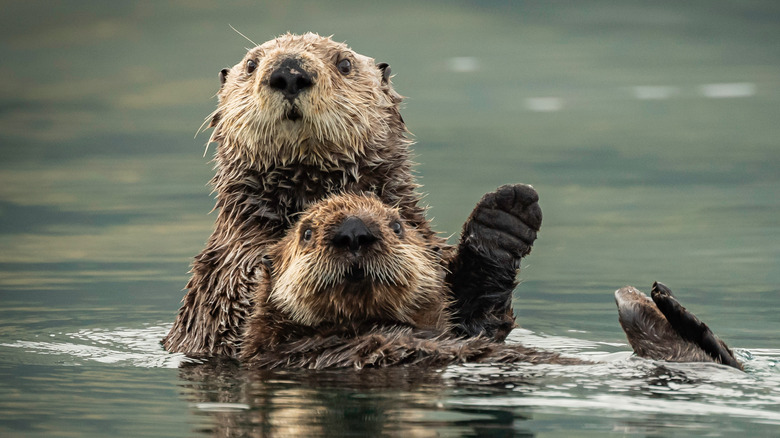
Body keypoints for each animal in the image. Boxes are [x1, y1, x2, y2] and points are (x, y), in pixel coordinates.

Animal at [163, 33, 544, 356]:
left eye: (344, 64)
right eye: (252, 64)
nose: (289, 72)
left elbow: (474, 320)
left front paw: (504, 218)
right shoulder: (225, 274)